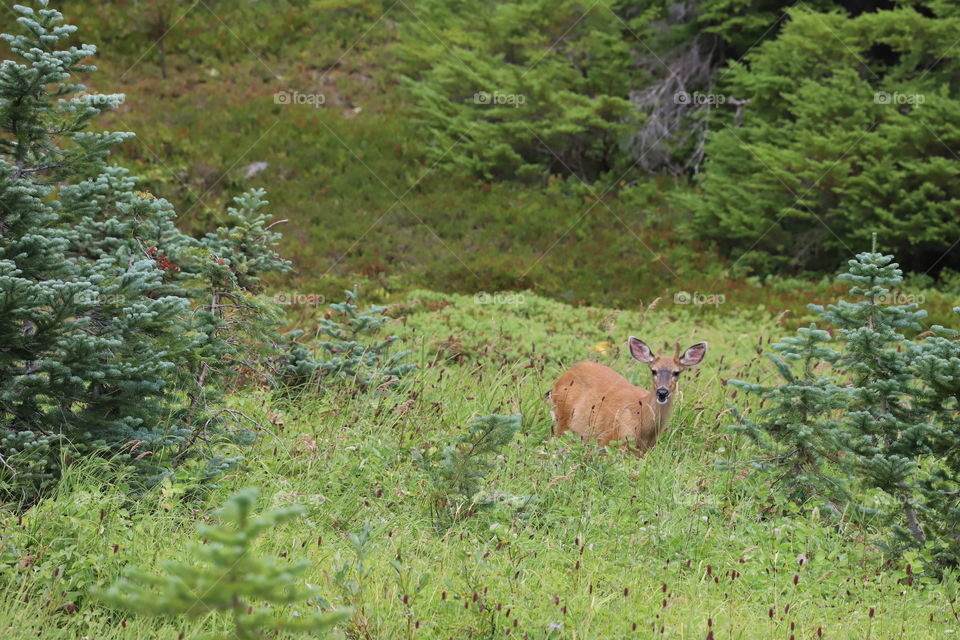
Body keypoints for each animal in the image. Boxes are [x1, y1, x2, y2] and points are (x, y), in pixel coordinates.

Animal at [547, 337, 707, 456]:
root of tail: (560, 379)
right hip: (563, 420)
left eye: (676, 372)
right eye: (653, 370)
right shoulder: (608, 440)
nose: (662, 392)